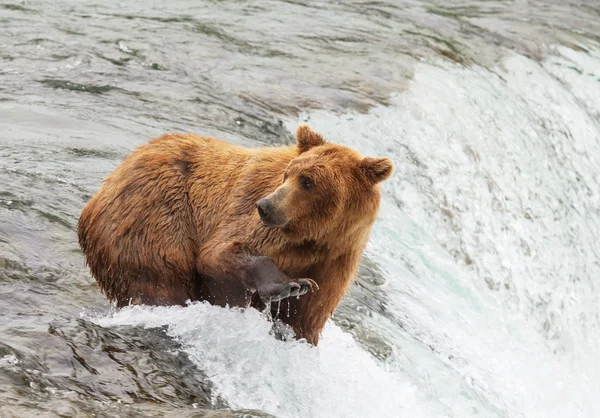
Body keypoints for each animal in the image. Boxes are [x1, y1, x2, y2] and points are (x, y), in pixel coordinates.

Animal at [77, 125, 392, 344]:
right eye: (288, 174)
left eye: (308, 181)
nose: (266, 206)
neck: (317, 235)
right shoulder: (258, 223)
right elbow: (220, 253)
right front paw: (291, 285)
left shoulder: (337, 257)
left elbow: (308, 315)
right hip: (154, 216)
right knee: (159, 280)